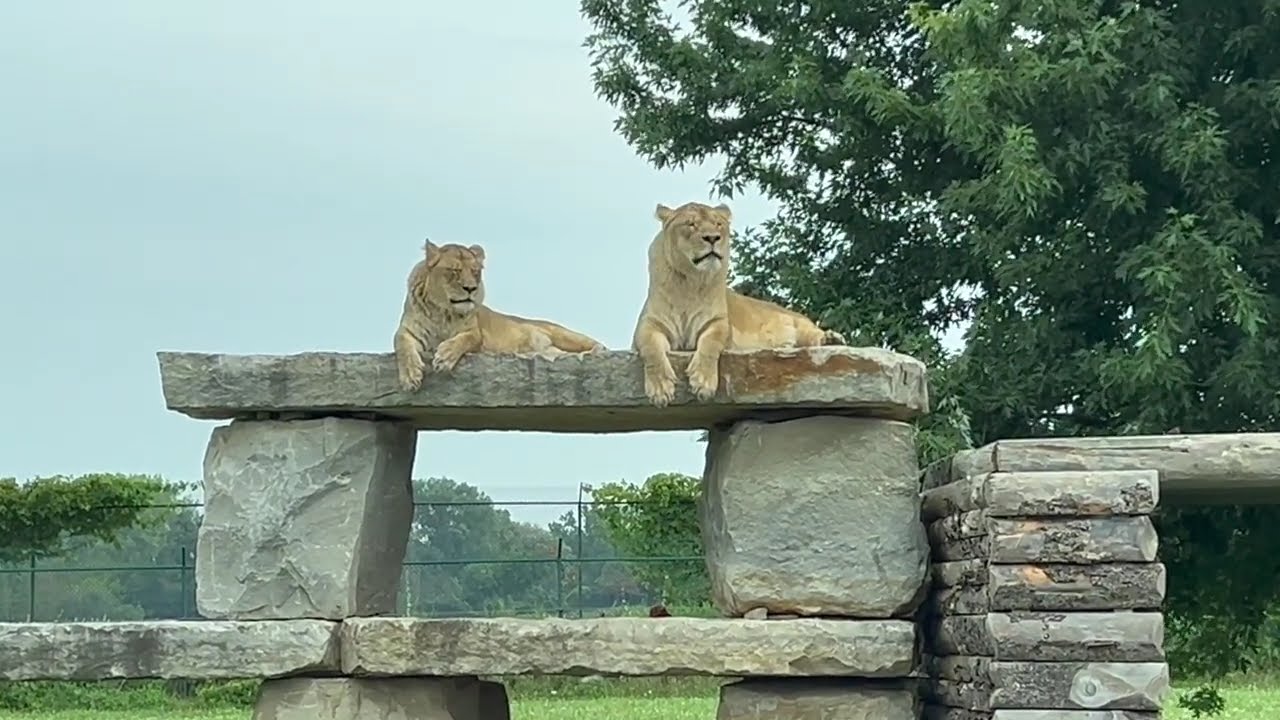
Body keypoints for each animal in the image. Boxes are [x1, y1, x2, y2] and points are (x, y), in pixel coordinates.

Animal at [394, 240, 606, 391]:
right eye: (454, 271)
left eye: (475, 272)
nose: (471, 288)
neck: (443, 312)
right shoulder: (407, 331)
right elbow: (402, 347)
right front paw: (410, 377)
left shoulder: (476, 334)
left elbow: (463, 340)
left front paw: (444, 358)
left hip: (562, 333)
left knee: (596, 345)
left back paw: (593, 352)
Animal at [631, 201, 847, 406]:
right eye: (691, 224)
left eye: (718, 224)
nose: (712, 238)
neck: (691, 282)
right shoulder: (648, 325)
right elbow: (651, 349)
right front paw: (660, 389)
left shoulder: (720, 323)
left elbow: (710, 344)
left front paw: (703, 382)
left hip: (800, 325)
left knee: (814, 335)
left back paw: (831, 339)